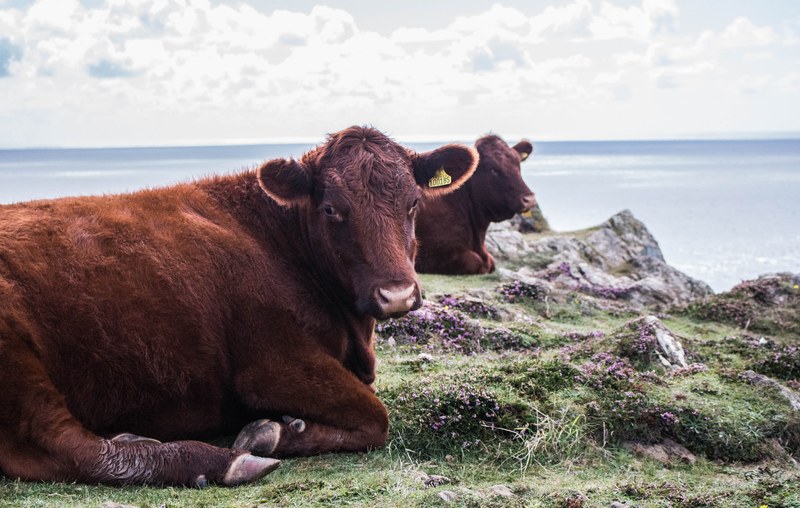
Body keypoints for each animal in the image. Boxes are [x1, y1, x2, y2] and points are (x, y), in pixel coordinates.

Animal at [0, 126, 478, 487]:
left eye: (413, 203)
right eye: (331, 209)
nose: (397, 294)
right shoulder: (272, 362)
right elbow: (376, 417)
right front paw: (273, 432)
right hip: (17, 355)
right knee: (62, 445)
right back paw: (214, 461)